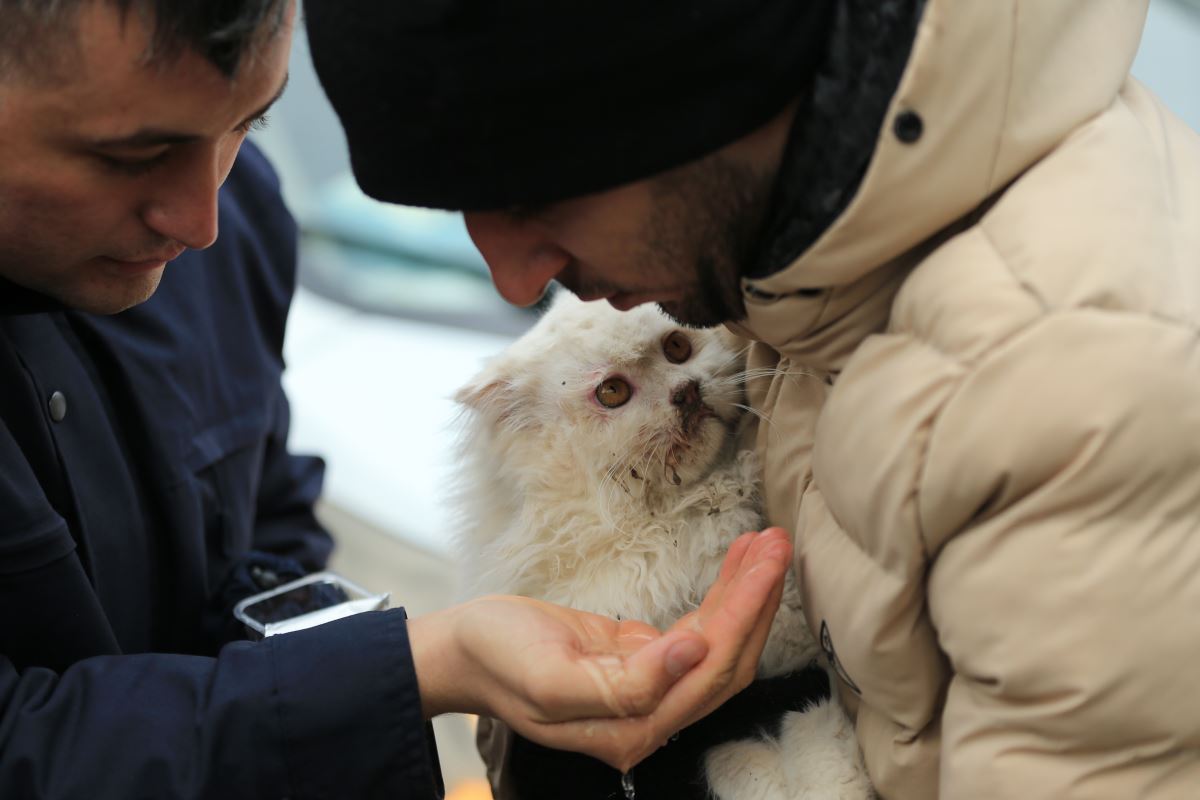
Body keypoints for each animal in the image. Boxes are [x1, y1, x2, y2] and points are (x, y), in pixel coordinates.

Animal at [451, 293, 873, 800]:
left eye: (677, 346)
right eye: (612, 392)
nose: (686, 391)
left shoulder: (791, 656)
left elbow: (810, 740)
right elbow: (791, 748)